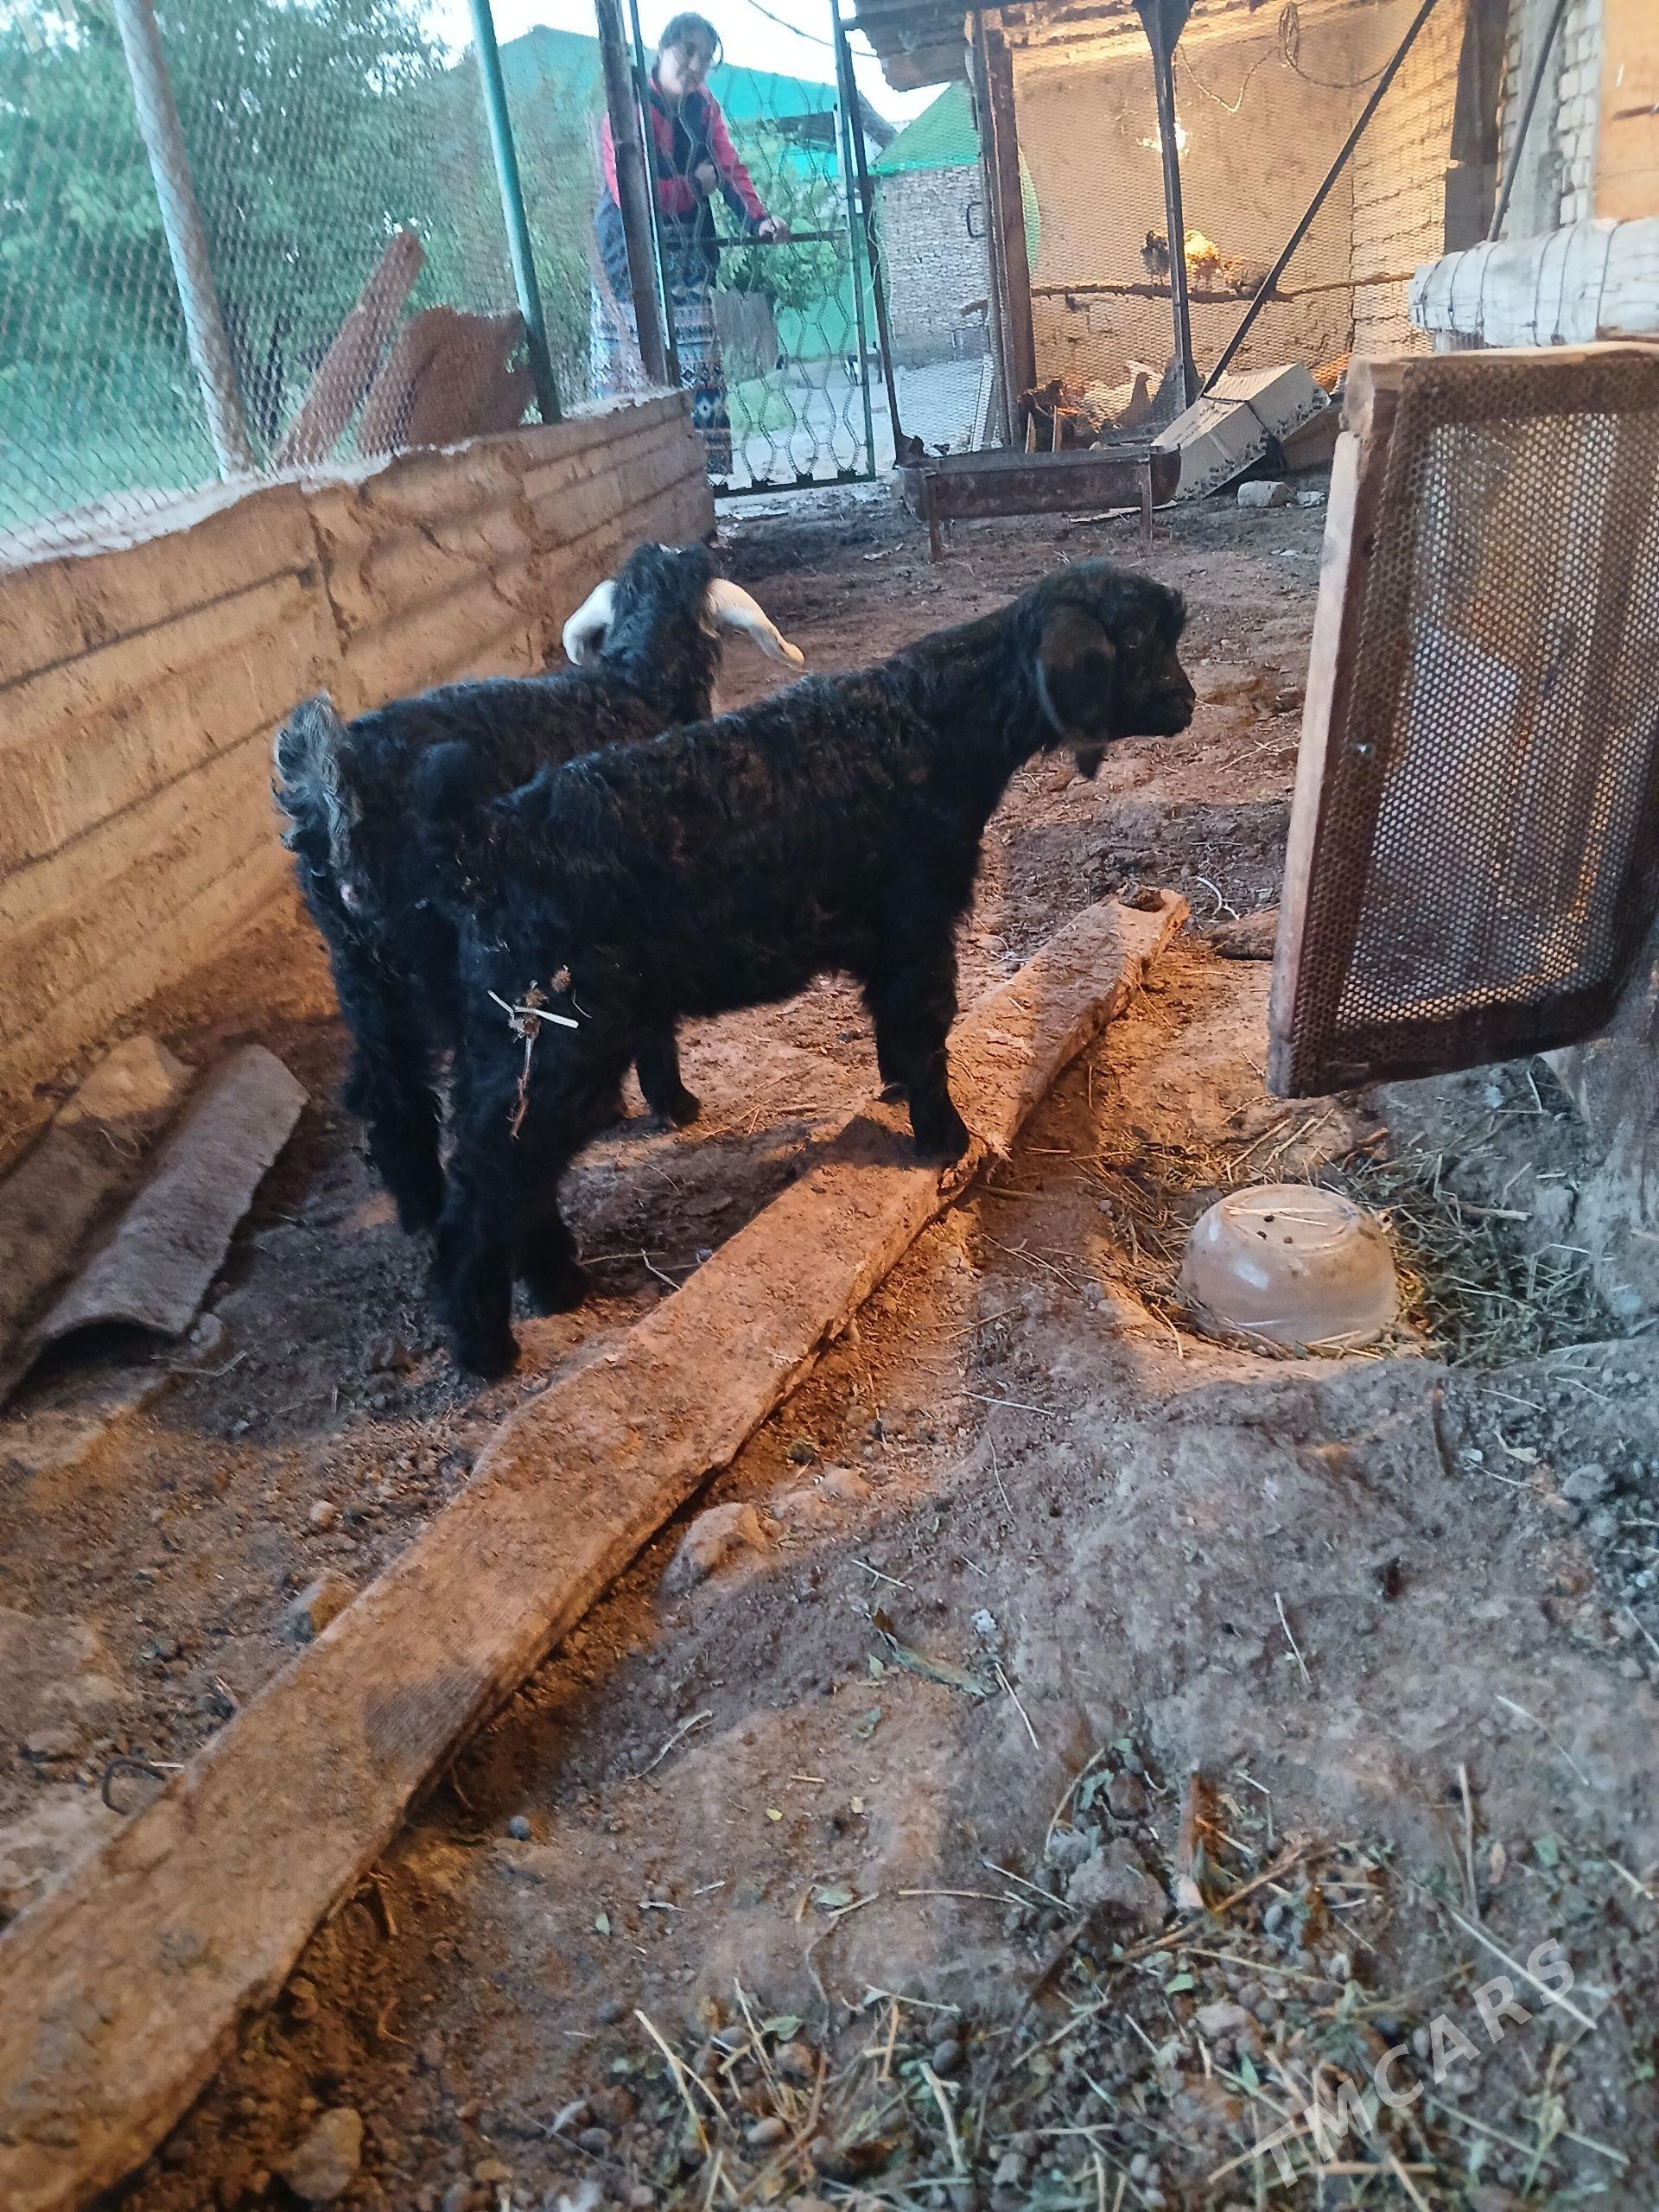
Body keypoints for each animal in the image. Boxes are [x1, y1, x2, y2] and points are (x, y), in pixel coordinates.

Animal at [272, 541, 804, 1236]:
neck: (633, 692)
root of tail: (344, 785)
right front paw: (674, 1103)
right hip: (455, 967)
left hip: (361, 972)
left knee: (390, 1093)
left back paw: (421, 1210)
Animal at [415, 558, 1194, 1375]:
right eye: (1141, 641)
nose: (1188, 703)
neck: (926, 727)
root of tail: (483, 842)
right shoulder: (916, 922)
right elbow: (924, 1029)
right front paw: (945, 1139)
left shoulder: (889, 939)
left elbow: (895, 1026)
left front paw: (895, 1093)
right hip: (557, 1028)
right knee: (485, 1188)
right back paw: (485, 1346)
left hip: (507, 1036)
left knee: (513, 1165)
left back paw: (558, 1286)